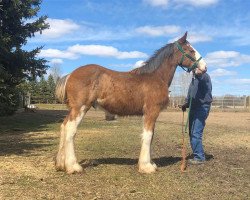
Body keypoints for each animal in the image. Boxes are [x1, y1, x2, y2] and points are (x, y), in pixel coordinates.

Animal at [54, 32, 207, 173]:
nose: (204, 67)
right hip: (80, 108)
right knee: (71, 130)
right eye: (191, 50)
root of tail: (70, 74)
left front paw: (150, 164)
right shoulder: (151, 112)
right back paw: (73, 166)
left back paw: (60, 164)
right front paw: (146, 167)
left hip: (74, 109)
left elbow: (151, 136)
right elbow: (148, 136)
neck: (156, 77)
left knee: (63, 126)